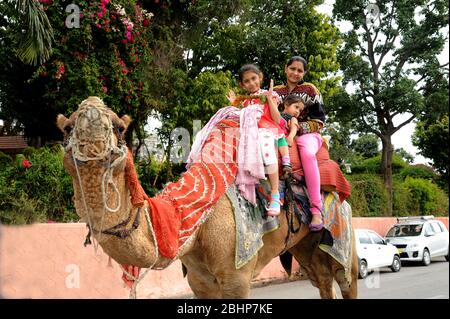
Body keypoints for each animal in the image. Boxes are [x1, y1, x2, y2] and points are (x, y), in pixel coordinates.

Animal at [57, 97, 358, 300]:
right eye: (67, 128)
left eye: (119, 127)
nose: (91, 113)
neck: (199, 226)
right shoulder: (199, 282)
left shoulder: (237, 276)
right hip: (305, 247)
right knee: (321, 279)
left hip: (343, 228)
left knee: (345, 278)